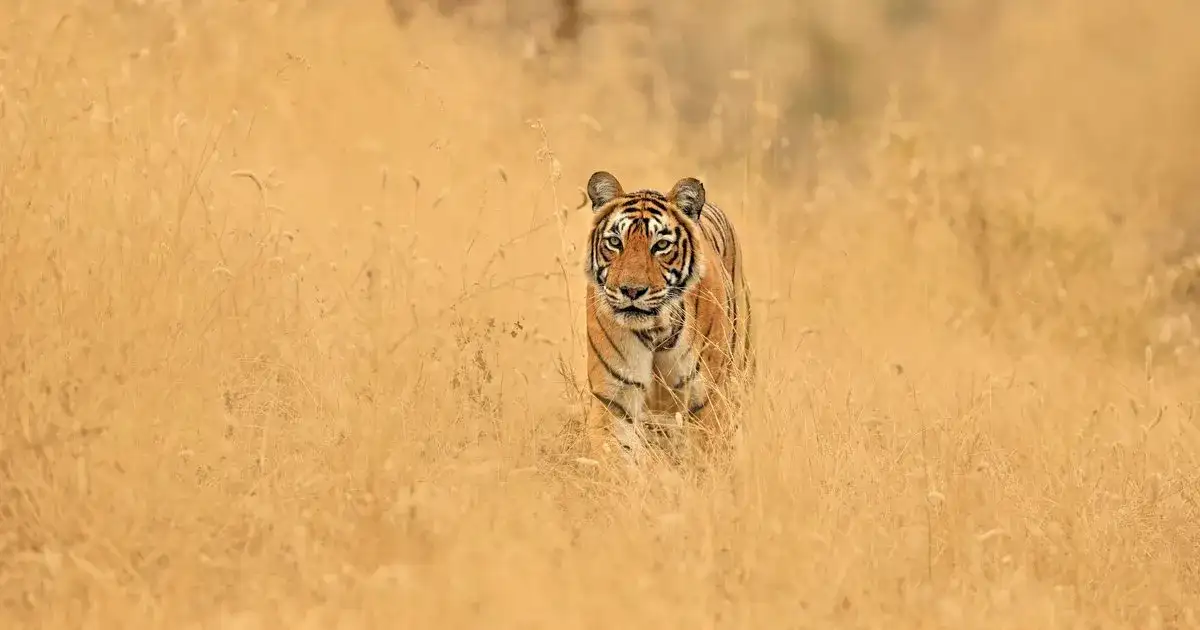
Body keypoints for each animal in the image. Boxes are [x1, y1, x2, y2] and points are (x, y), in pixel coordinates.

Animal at [582, 170, 754, 465]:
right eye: (615, 242)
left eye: (661, 245)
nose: (631, 290)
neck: (656, 331)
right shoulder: (615, 400)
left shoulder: (706, 400)